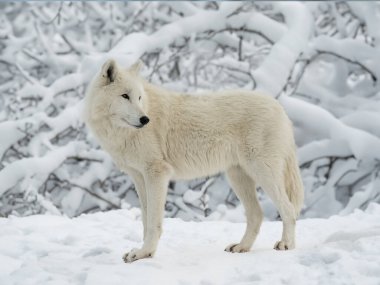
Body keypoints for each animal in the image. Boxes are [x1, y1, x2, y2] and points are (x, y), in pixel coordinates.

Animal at [84, 58, 304, 262]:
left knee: (289, 209)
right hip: (237, 177)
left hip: (263, 173)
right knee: (257, 214)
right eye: (125, 96)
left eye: (138, 97)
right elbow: (146, 220)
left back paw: (286, 244)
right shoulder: (139, 177)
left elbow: (153, 222)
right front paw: (144, 253)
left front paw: (144, 253)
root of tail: (279, 107)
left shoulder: (157, 174)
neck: (121, 133)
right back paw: (241, 247)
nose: (145, 119)